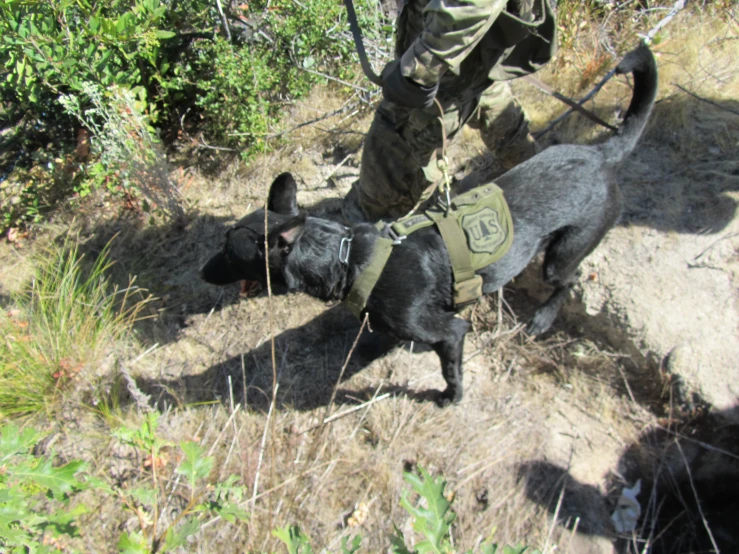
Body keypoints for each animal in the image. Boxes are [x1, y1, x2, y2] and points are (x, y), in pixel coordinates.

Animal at [202, 43, 660, 404]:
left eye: (228, 251)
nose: (202, 272)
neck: (349, 258)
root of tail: (602, 153)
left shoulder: (450, 333)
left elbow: (450, 367)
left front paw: (450, 397)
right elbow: (379, 335)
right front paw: (373, 345)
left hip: (564, 252)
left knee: (570, 279)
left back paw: (544, 319)